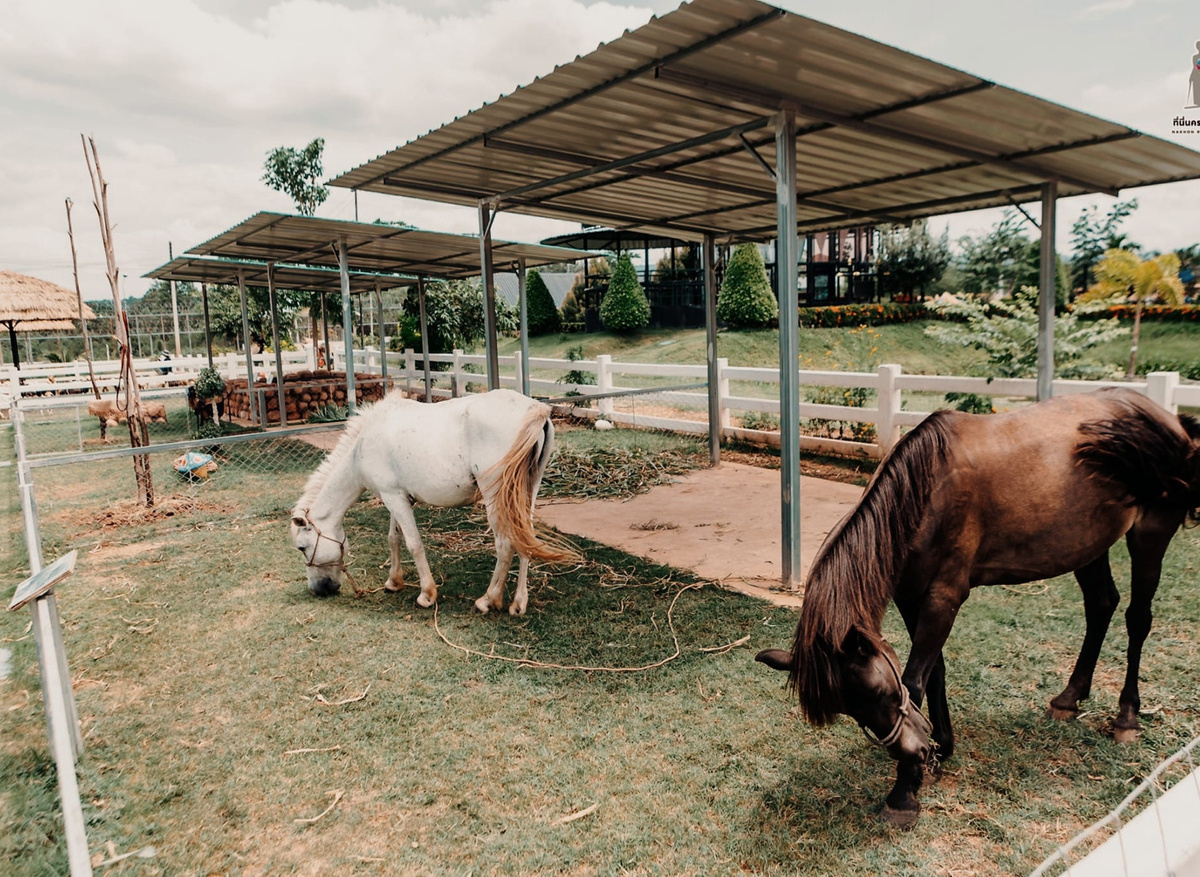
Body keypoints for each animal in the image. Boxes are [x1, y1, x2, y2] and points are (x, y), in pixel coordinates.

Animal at [289, 388, 571, 619]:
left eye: (302, 547)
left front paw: (426, 594)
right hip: (524, 495)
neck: (362, 447)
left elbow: (413, 544)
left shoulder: (394, 498)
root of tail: (534, 410)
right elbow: (394, 538)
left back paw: (488, 600)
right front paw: (394, 582)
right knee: (525, 539)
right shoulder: (395, 497)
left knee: (505, 544)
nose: (318, 590)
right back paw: (518, 603)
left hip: (497, 497)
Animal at [758, 391, 1200, 830]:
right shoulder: (911, 597)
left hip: (1149, 534)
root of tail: (1167, 418)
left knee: (1137, 619)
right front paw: (941, 746)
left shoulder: (944, 597)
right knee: (1101, 605)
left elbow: (915, 681)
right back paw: (1069, 698)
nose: (915, 750)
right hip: (1087, 544)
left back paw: (1127, 717)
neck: (925, 495)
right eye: (848, 709)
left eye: (879, 692)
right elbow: (935, 671)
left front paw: (905, 791)